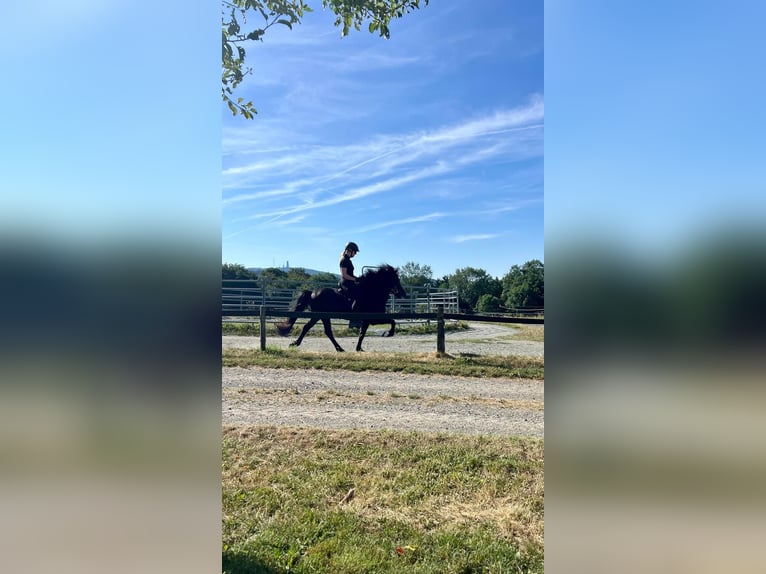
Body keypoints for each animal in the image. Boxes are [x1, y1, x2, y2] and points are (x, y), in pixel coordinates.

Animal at [275, 264, 407, 352]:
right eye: (395, 279)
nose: (403, 294)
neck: (371, 292)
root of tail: (312, 292)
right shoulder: (372, 319)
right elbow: (392, 321)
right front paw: (388, 333)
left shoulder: (367, 320)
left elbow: (362, 333)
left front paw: (359, 348)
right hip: (321, 316)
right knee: (322, 330)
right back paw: (338, 348)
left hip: (319, 316)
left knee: (313, 328)